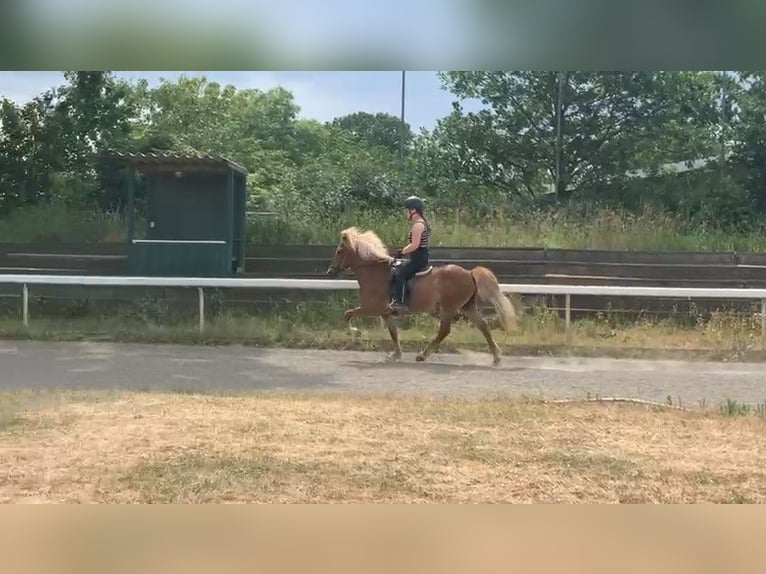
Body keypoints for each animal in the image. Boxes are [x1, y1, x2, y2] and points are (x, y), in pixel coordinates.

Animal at [324, 227, 520, 366]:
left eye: (339, 251)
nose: (330, 271)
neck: (374, 272)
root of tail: (469, 272)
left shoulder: (371, 308)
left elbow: (348, 314)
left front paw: (356, 333)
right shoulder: (386, 313)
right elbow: (394, 333)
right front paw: (395, 355)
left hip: (448, 308)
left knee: (444, 330)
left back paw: (422, 355)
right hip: (467, 307)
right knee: (483, 326)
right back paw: (496, 358)